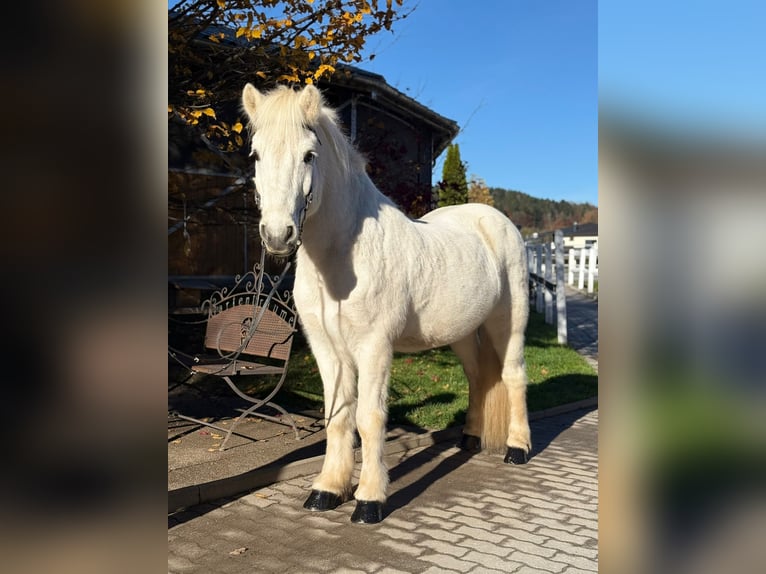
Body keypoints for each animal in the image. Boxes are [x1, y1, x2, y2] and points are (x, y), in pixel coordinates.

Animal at [241, 83, 531, 524]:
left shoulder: (374, 346)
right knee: (479, 378)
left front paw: (369, 500)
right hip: (463, 334)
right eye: (256, 154)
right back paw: (469, 438)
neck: (341, 256)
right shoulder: (328, 349)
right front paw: (327, 490)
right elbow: (338, 416)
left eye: (309, 155)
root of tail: (496, 221)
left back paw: (517, 448)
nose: (278, 236)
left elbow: (369, 417)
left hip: (507, 324)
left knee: (512, 376)